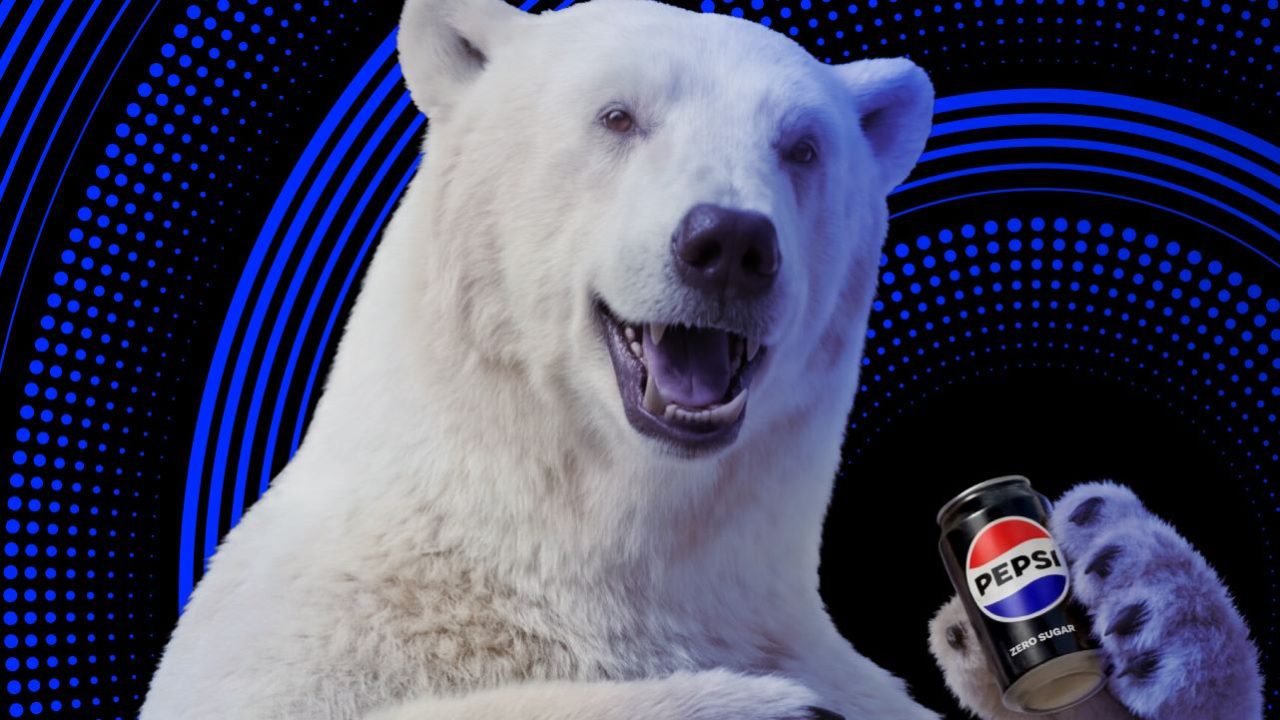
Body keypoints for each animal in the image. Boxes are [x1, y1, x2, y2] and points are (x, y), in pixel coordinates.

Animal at [139, 0, 1264, 717]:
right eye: (617, 115)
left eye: (802, 145)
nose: (728, 244)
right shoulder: (303, 640)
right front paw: (744, 706)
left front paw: (1139, 596)